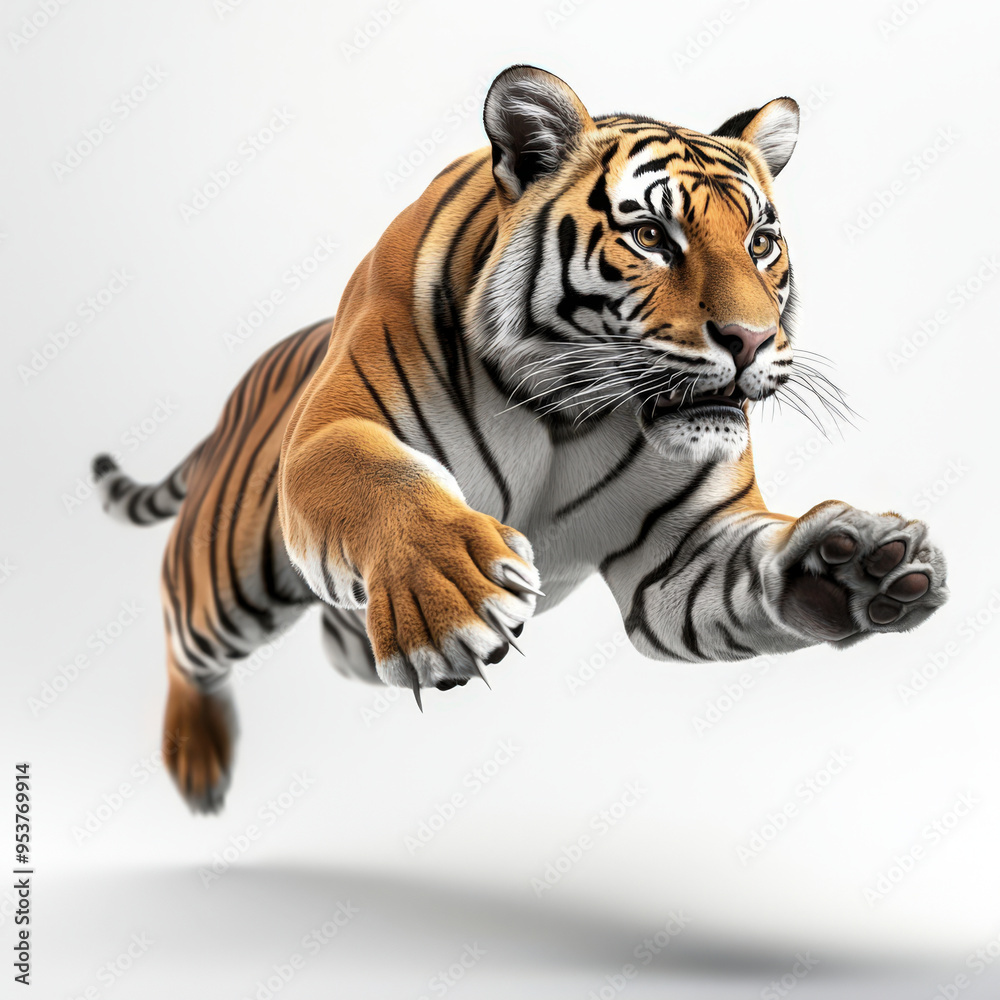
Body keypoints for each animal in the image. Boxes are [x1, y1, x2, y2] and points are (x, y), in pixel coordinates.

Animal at [94, 65, 947, 813]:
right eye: (651, 235)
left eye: (761, 242)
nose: (752, 339)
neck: (569, 414)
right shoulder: (332, 430)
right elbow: (382, 480)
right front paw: (446, 594)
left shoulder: (685, 551)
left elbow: (750, 571)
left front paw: (855, 569)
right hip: (227, 579)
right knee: (181, 635)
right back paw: (197, 762)